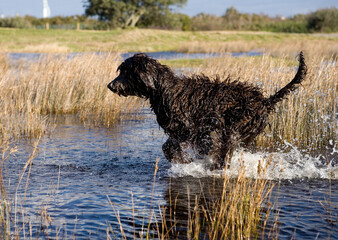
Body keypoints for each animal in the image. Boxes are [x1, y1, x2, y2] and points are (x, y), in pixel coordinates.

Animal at [107, 52, 306, 169]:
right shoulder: (180, 131)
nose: (110, 85)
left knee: (224, 153)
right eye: (121, 71)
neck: (166, 90)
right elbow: (169, 146)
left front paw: (186, 160)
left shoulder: (195, 129)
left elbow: (175, 146)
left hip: (232, 129)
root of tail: (264, 101)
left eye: (126, 72)